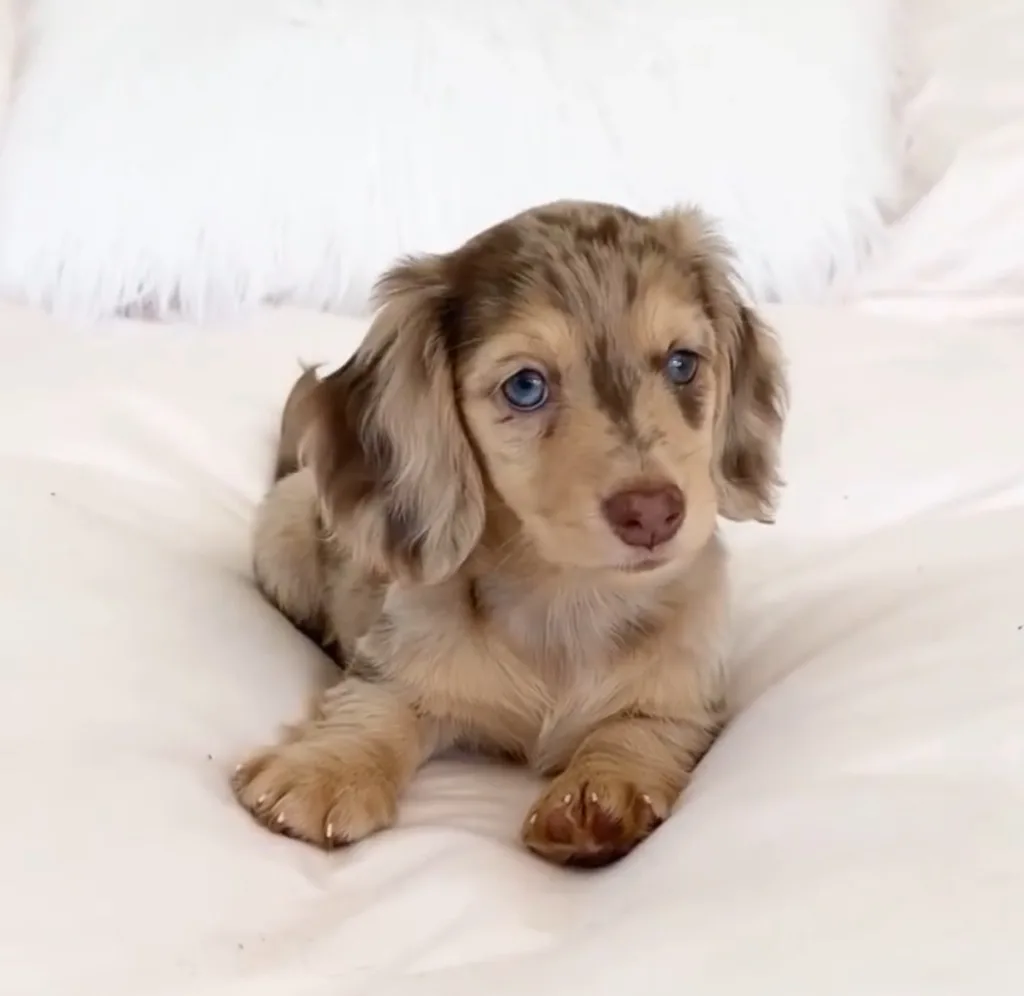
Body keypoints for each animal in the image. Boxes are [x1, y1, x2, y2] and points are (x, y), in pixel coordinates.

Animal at [232, 200, 786, 863]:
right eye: (525, 386)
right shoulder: (396, 668)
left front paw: (601, 790)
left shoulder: (686, 698)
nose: (653, 512)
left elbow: (641, 731)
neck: (567, 600)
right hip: (288, 519)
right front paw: (326, 770)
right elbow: (370, 709)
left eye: (682, 364)